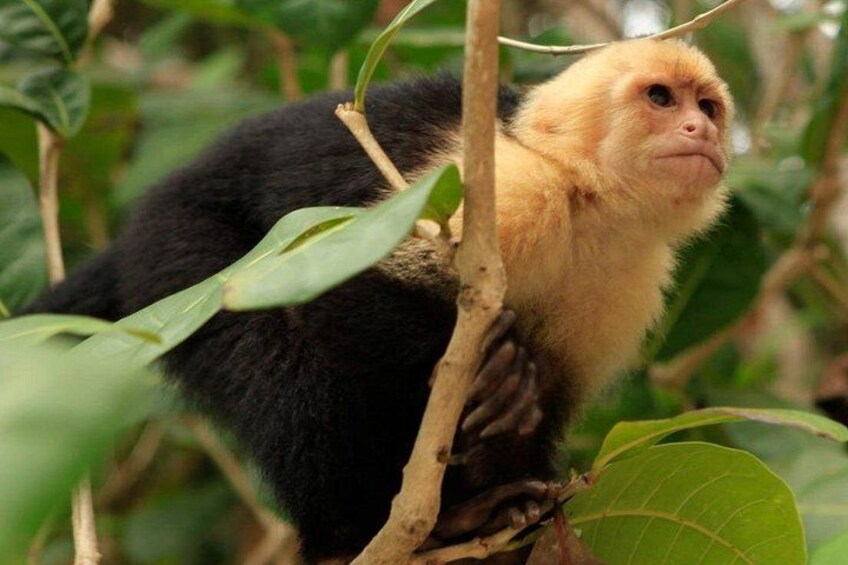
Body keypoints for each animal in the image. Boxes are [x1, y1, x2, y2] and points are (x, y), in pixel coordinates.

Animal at [23, 39, 733, 561]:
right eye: (660, 98)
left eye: (708, 106)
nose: (699, 128)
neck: (589, 202)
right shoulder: (510, 188)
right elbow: (339, 286)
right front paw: (496, 371)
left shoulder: (628, 280)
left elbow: (553, 395)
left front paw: (516, 494)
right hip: (177, 255)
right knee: (281, 366)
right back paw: (353, 532)